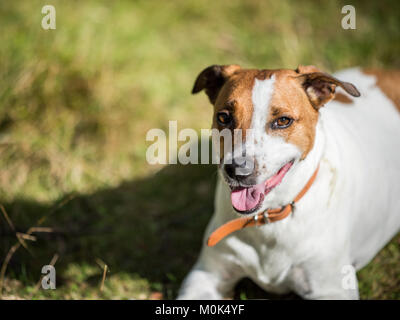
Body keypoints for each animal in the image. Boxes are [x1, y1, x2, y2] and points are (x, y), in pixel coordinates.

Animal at [177, 63, 400, 298]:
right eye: (223, 117)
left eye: (283, 121)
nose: (236, 169)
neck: (269, 216)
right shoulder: (205, 276)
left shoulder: (331, 289)